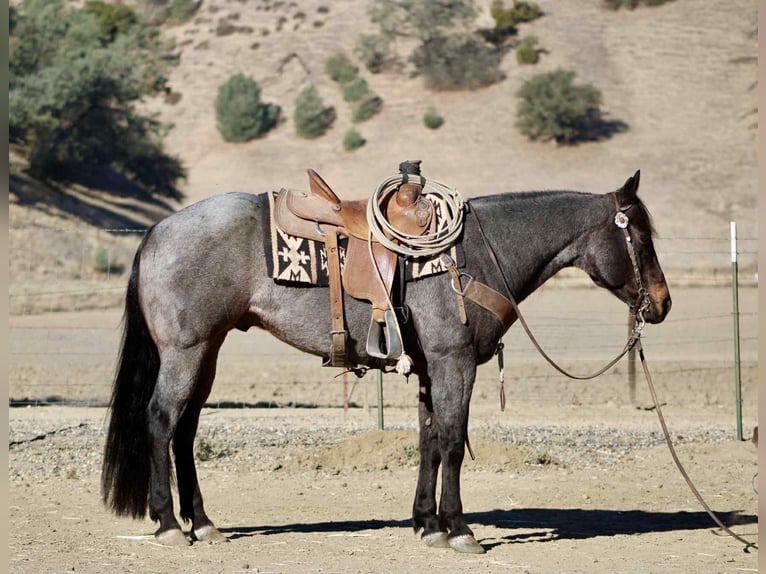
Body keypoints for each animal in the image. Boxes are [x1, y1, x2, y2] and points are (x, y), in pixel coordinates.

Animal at [101, 169, 671, 552]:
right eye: (641, 239)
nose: (662, 305)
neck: (475, 255)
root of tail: (157, 231)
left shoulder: (430, 368)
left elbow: (429, 442)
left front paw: (427, 524)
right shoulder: (454, 362)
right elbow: (454, 441)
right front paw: (460, 530)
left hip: (208, 350)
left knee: (186, 429)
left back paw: (202, 522)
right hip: (186, 351)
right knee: (161, 421)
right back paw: (169, 524)